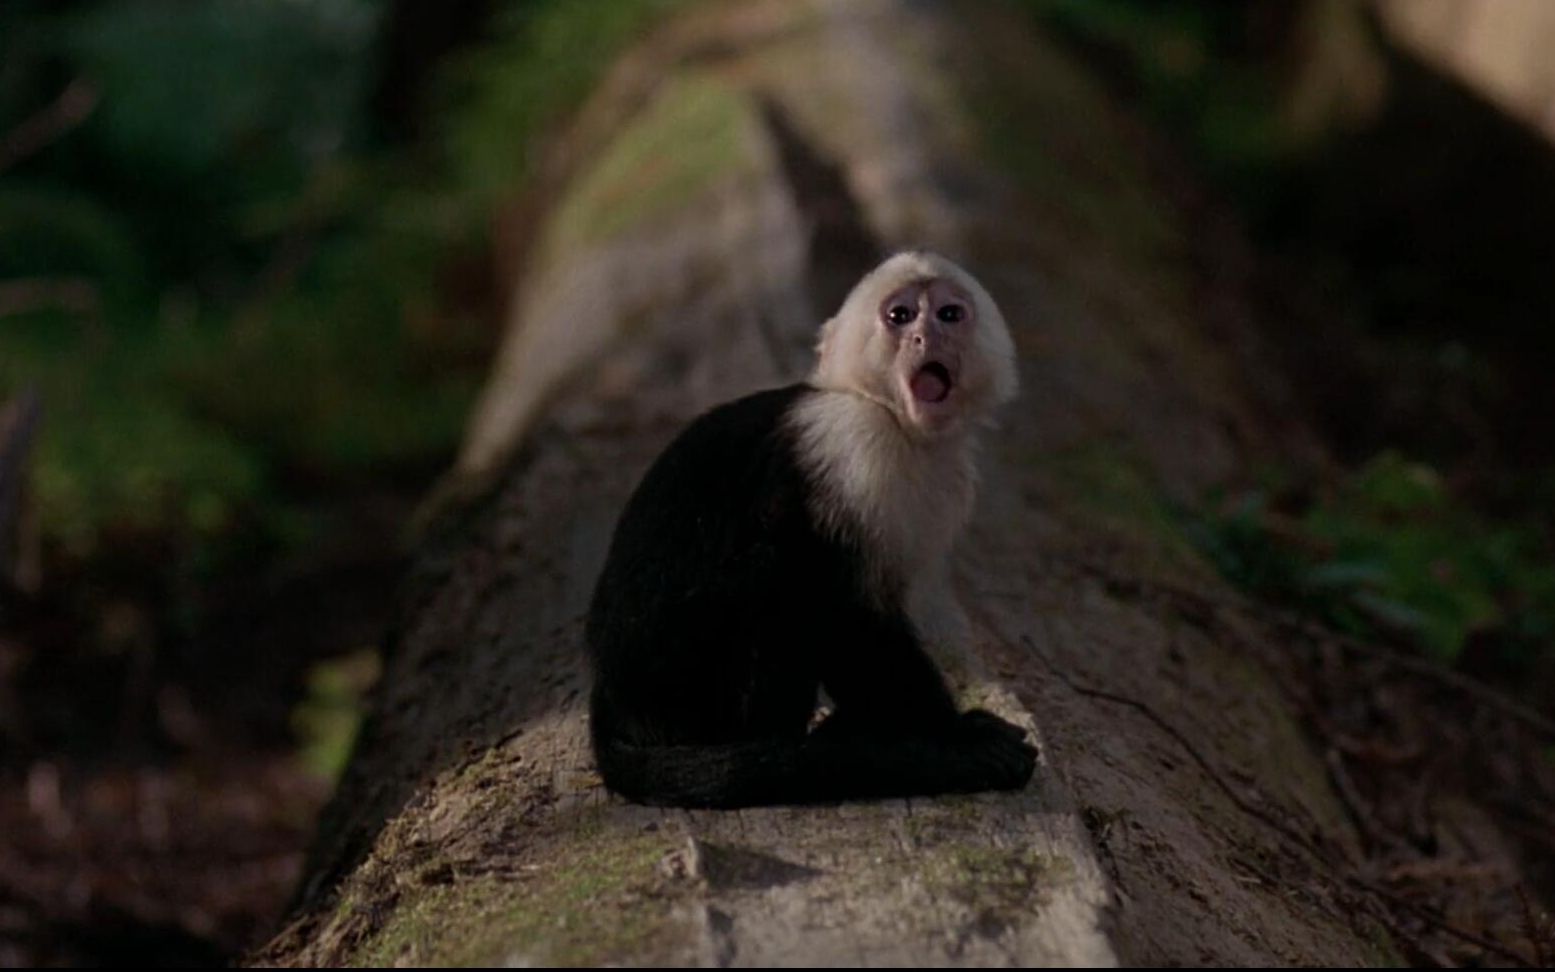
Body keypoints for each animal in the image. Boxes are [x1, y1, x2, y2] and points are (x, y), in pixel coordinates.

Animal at [584, 248, 1032, 802]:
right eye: (900, 315)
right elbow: (845, 616)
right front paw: (957, 740)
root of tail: (611, 697)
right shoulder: (854, 447)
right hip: (685, 687)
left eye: (950, 314)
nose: (928, 337)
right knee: (778, 571)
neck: (886, 415)